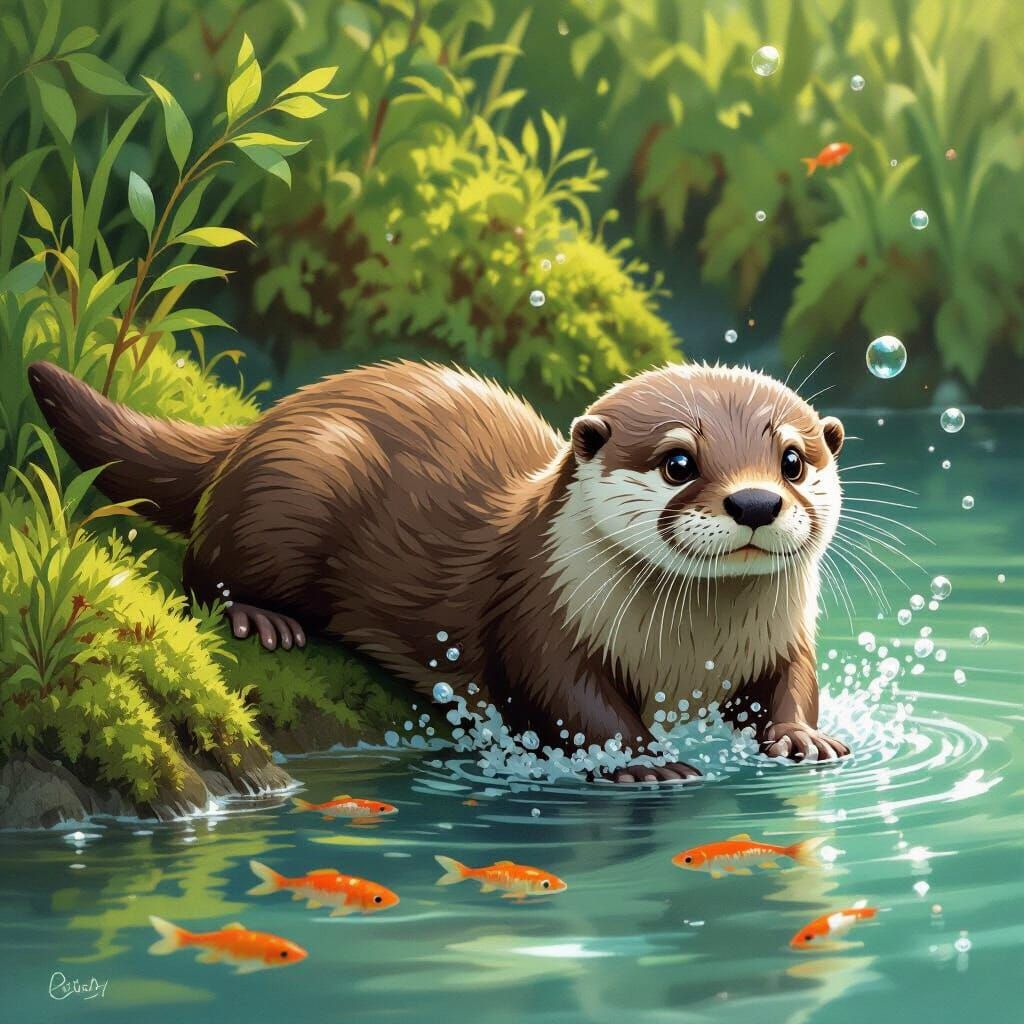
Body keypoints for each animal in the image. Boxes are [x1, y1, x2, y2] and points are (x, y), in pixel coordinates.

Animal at [28, 359, 850, 782]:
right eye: (679, 462)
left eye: (793, 459)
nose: (754, 501)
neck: (689, 654)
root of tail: (262, 424)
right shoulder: (538, 614)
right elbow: (571, 701)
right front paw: (645, 763)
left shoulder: (781, 638)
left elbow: (795, 682)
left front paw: (802, 737)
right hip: (289, 486)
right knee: (201, 564)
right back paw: (259, 617)